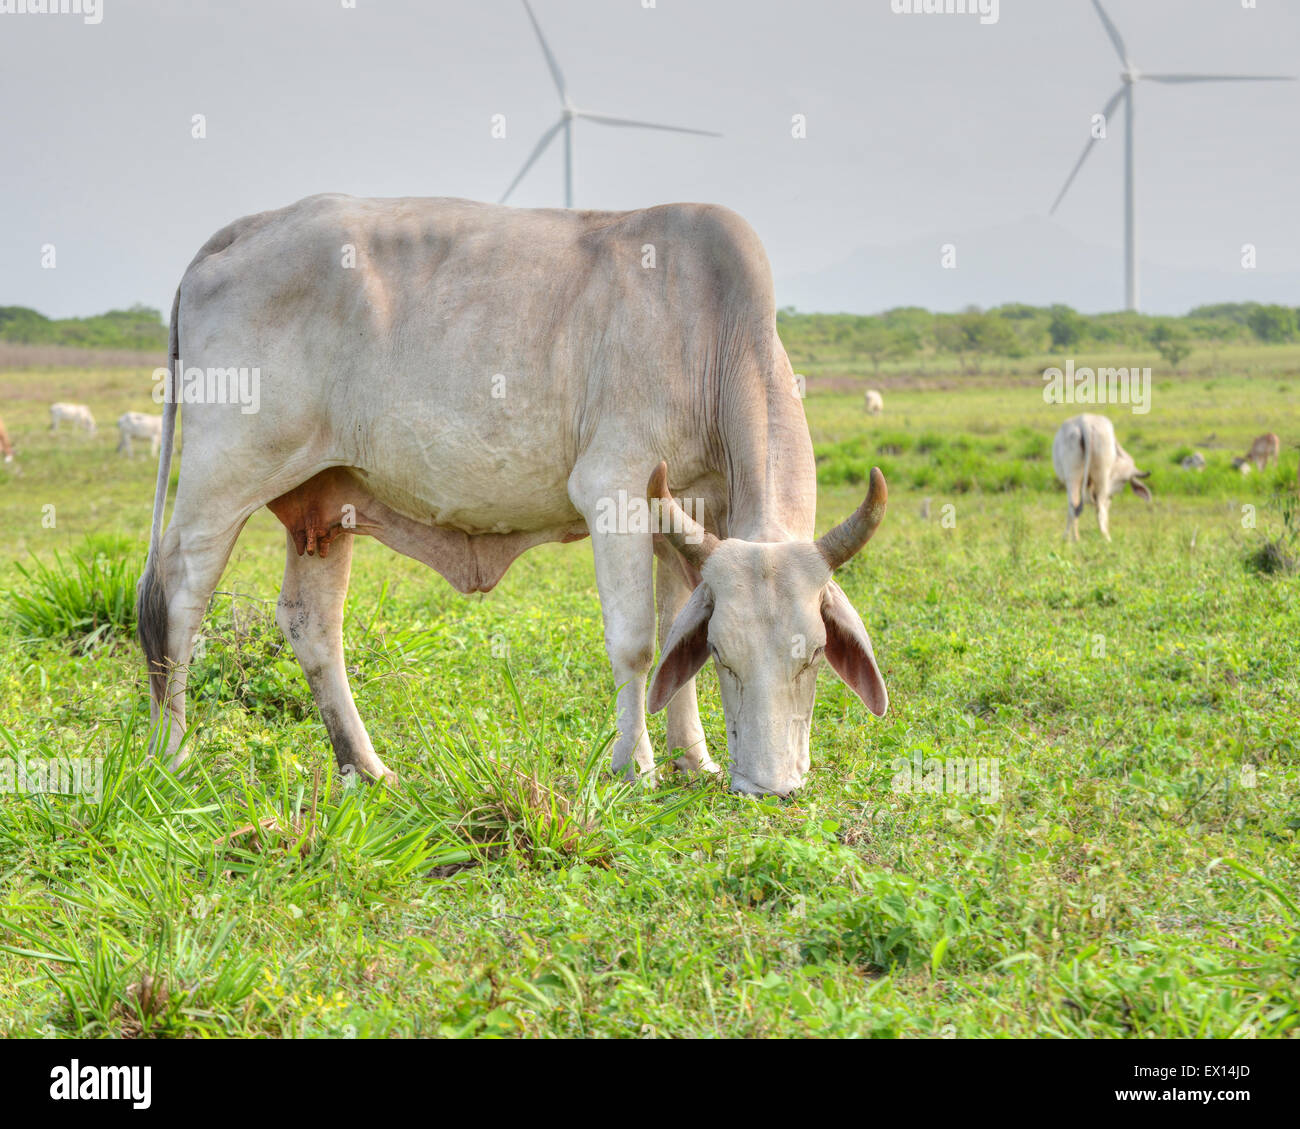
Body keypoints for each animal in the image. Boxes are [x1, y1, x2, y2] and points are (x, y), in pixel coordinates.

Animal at [139, 193, 894, 796]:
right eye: (730, 658)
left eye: (813, 654)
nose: (771, 788)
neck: (715, 336)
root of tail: (247, 229)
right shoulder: (616, 485)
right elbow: (636, 643)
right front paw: (636, 768)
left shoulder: (689, 514)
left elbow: (677, 636)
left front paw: (695, 761)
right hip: (222, 478)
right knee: (177, 597)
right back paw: (172, 758)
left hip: (324, 504)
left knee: (311, 624)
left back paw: (366, 768)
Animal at [1050, 413, 1154, 543]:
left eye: (1124, 480)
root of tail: (1085, 422)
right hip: (1097, 477)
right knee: (1093, 507)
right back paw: (1103, 538)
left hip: (1074, 477)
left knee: (1077, 505)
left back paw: (1078, 538)